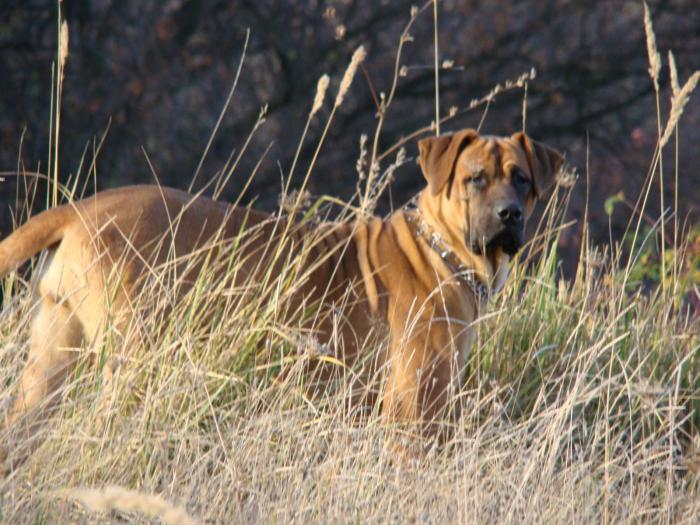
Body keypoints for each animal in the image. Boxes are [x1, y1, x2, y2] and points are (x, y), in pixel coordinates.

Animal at [0, 130, 560, 466]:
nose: (509, 215)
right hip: (137, 360)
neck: (444, 250)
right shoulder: (414, 403)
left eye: (522, 178)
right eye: (475, 179)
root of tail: (79, 210)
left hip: (50, 360)